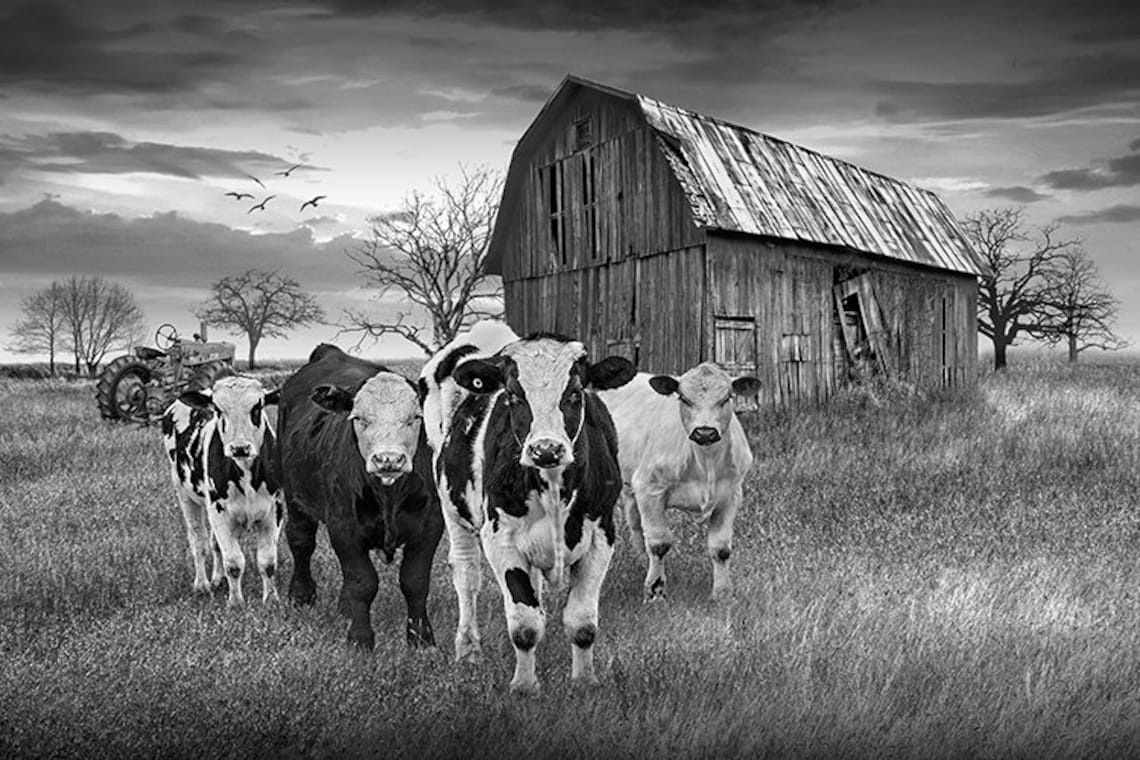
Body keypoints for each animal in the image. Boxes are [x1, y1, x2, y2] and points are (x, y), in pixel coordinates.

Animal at [161, 374, 284, 607]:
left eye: (257, 407)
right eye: (218, 410)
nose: (240, 448)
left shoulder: (274, 510)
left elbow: (268, 562)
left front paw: (271, 599)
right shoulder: (219, 511)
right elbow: (234, 562)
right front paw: (235, 602)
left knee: (214, 545)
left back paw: (217, 579)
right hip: (184, 495)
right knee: (199, 542)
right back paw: (202, 585)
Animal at [276, 344, 443, 650]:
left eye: (416, 417)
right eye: (358, 418)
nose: (388, 459)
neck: (389, 494)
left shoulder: (430, 525)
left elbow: (415, 581)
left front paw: (421, 638)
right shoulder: (344, 527)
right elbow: (363, 582)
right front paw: (360, 638)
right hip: (294, 495)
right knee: (301, 542)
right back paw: (301, 595)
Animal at [432, 331, 636, 694]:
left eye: (575, 393)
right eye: (513, 395)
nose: (546, 449)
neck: (552, 486)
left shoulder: (602, 535)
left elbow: (582, 622)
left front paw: (585, 681)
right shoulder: (499, 538)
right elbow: (524, 624)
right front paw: (524, 686)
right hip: (453, 514)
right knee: (467, 577)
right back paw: (468, 651)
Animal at [598, 362, 761, 602]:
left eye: (726, 398)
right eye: (683, 398)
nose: (705, 432)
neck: (706, 462)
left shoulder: (731, 495)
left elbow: (721, 548)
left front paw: (722, 593)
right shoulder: (650, 488)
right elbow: (659, 543)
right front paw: (655, 592)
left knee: (635, 524)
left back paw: (640, 562)